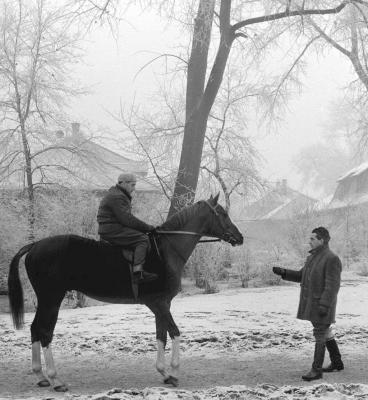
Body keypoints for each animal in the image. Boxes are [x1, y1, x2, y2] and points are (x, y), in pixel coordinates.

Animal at [7, 194, 243, 390]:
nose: (239, 237)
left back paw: (41, 376)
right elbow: (175, 333)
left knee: (35, 329)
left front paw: (164, 373)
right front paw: (174, 372)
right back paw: (55, 379)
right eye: (222, 213)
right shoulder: (159, 304)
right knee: (45, 332)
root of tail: (35, 245)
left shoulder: (161, 304)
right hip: (52, 299)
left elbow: (161, 336)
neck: (167, 249)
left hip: (46, 300)